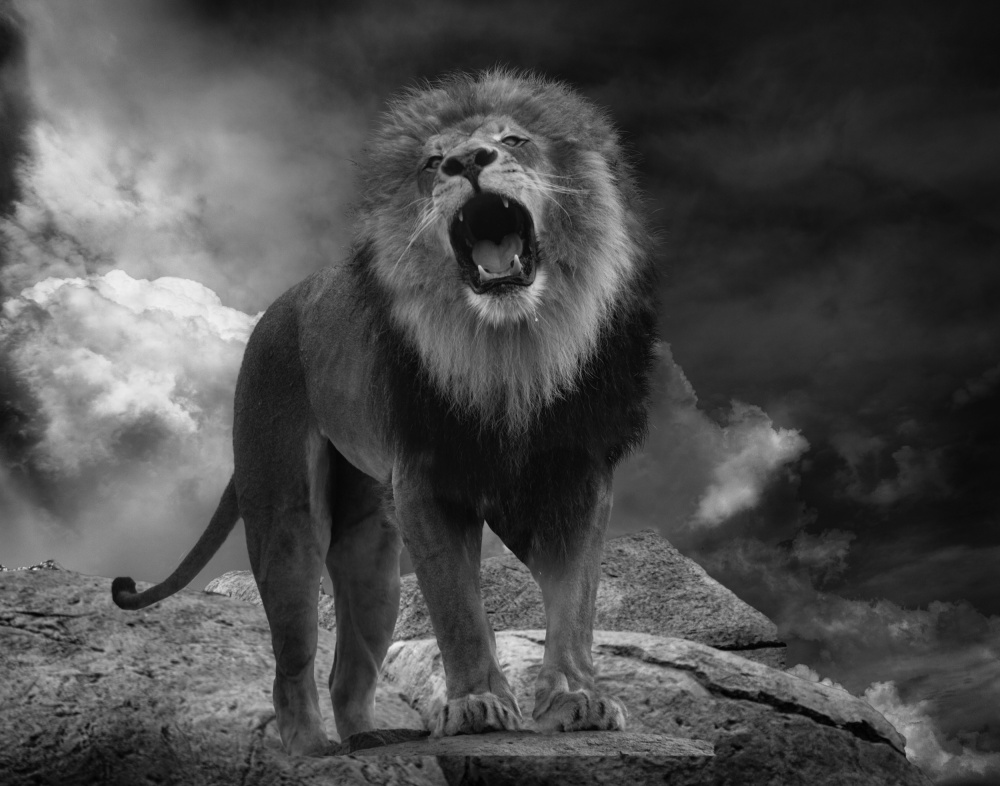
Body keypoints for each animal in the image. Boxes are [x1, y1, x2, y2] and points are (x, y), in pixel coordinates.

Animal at [112, 70, 657, 756]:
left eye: (514, 140)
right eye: (431, 162)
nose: (466, 162)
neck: (511, 351)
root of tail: (280, 305)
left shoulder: (577, 475)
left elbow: (575, 602)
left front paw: (577, 698)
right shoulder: (427, 480)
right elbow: (458, 608)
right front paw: (477, 703)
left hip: (373, 555)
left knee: (349, 668)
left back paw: (372, 738)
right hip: (286, 513)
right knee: (293, 656)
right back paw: (310, 748)